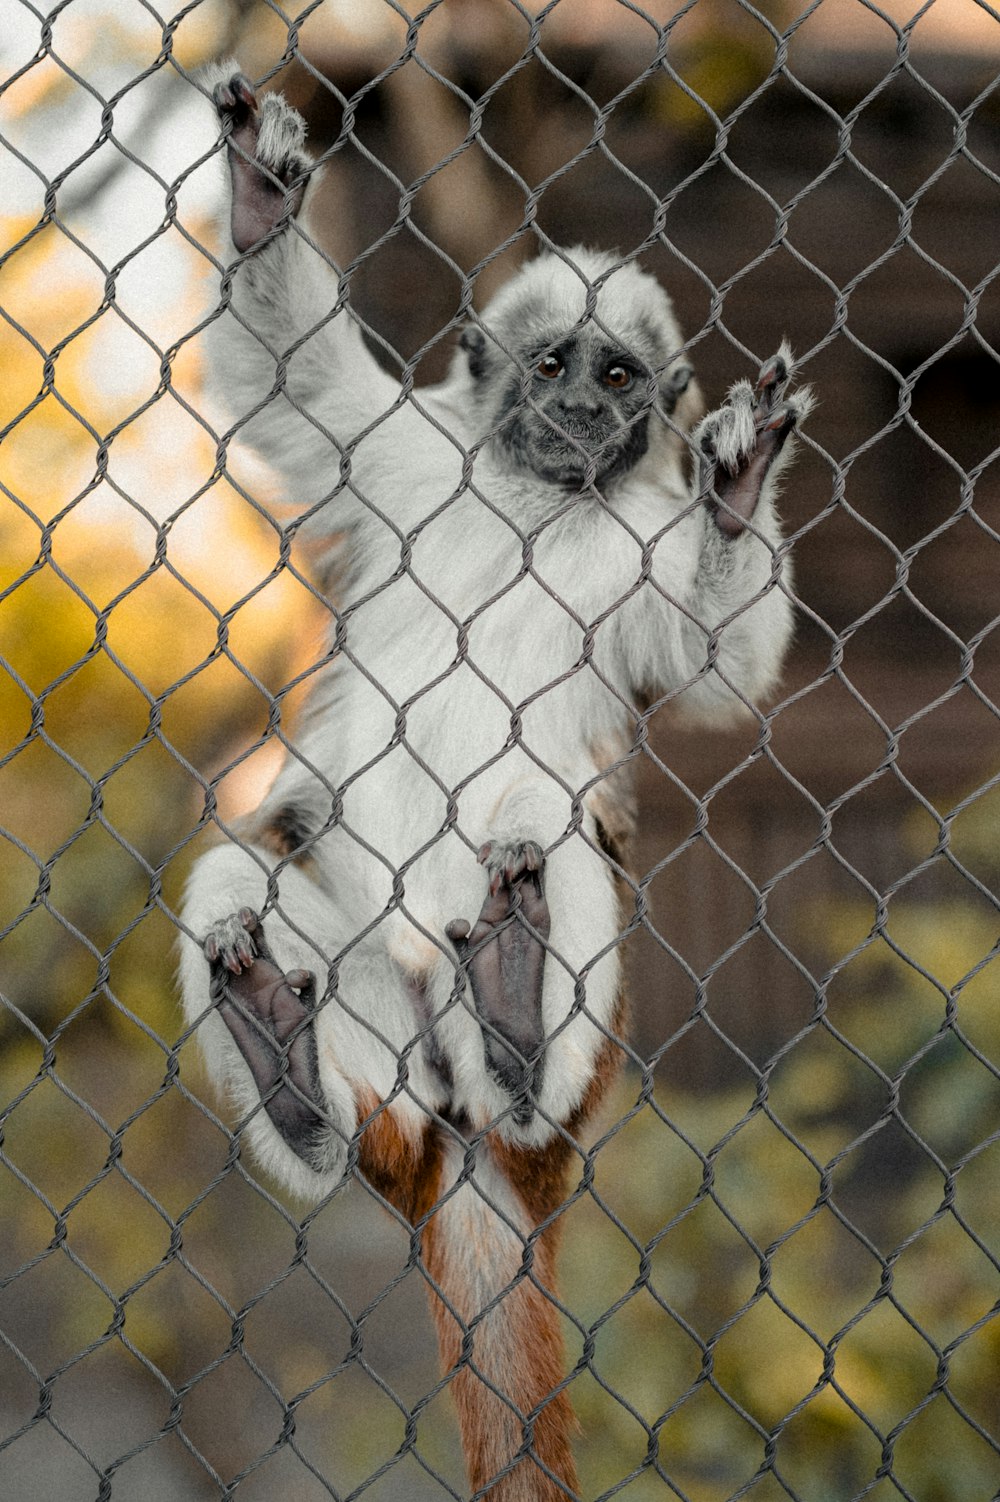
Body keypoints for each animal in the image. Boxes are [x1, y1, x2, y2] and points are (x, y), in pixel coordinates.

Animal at [177, 67, 810, 1502]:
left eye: (619, 372)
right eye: (551, 363)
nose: (583, 412)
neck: (538, 498)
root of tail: (459, 1140)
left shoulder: (644, 549)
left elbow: (711, 663)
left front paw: (737, 494)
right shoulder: (409, 458)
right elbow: (295, 391)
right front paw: (259, 201)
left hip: (570, 1045)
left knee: (548, 824)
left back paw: (517, 1027)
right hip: (381, 1000)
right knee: (252, 876)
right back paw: (298, 1076)